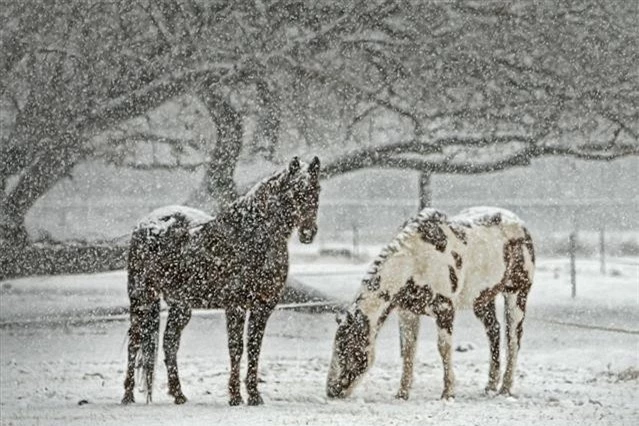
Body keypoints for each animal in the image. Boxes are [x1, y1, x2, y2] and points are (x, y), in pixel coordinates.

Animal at [120, 156, 322, 406]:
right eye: (295, 192)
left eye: (317, 189)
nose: (308, 233)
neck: (252, 237)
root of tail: (146, 224)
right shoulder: (235, 306)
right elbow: (236, 348)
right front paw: (235, 396)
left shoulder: (262, 307)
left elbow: (254, 348)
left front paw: (254, 395)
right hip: (142, 298)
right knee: (135, 341)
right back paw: (128, 395)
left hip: (180, 306)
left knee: (169, 343)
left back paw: (179, 394)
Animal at [324, 206, 536, 400]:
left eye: (348, 348)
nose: (331, 391)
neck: (415, 261)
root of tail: (520, 224)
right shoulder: (408, 312)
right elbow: (408, 350)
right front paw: (402, 393)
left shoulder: (444, 309)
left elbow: (443, 348)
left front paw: (448, 393)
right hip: (482, 300)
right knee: (494, 332)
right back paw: (490, 386)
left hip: (517, 294)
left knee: (513, 339)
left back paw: (505, 389)